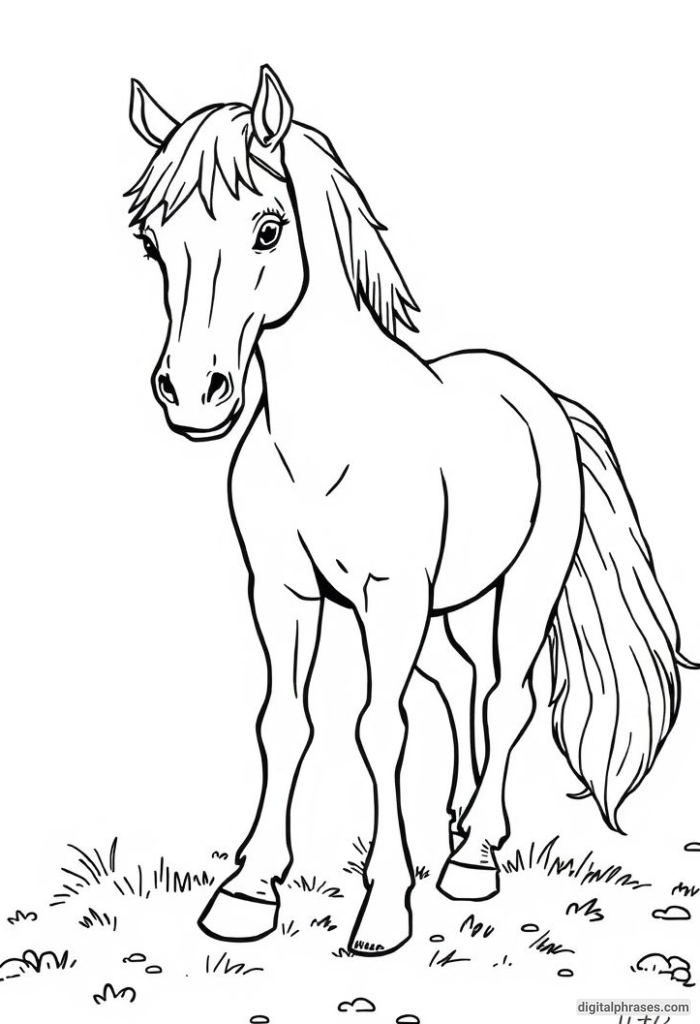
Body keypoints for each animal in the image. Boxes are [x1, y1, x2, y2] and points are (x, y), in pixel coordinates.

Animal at [125, 65, 691, 956]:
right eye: (154, 242)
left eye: (268, 229)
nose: (190, 392)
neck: (326, 435)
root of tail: (543, 399)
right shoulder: (284, 594)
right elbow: (284, 723)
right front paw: (249, 891)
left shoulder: (389, 596)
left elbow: (378, 731)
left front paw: (385, 907)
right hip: (442, 609)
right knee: (464, 684)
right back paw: (457, 820)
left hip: (518, 590)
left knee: (507, 695)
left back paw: (474, 856)